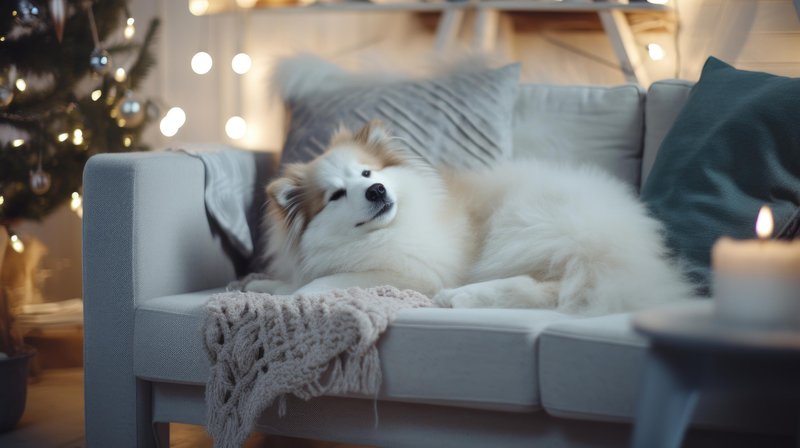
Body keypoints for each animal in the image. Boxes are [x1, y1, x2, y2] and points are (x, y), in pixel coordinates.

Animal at [252, 119, 692, 316]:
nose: (377, 190)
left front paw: (292, 295)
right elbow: (295, 279)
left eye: (367, 173)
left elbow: (327, 281)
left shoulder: (415, 272)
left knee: (550, 288)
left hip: (523, 225)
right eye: (336, 195)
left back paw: (459, 297)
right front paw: (263, 284)